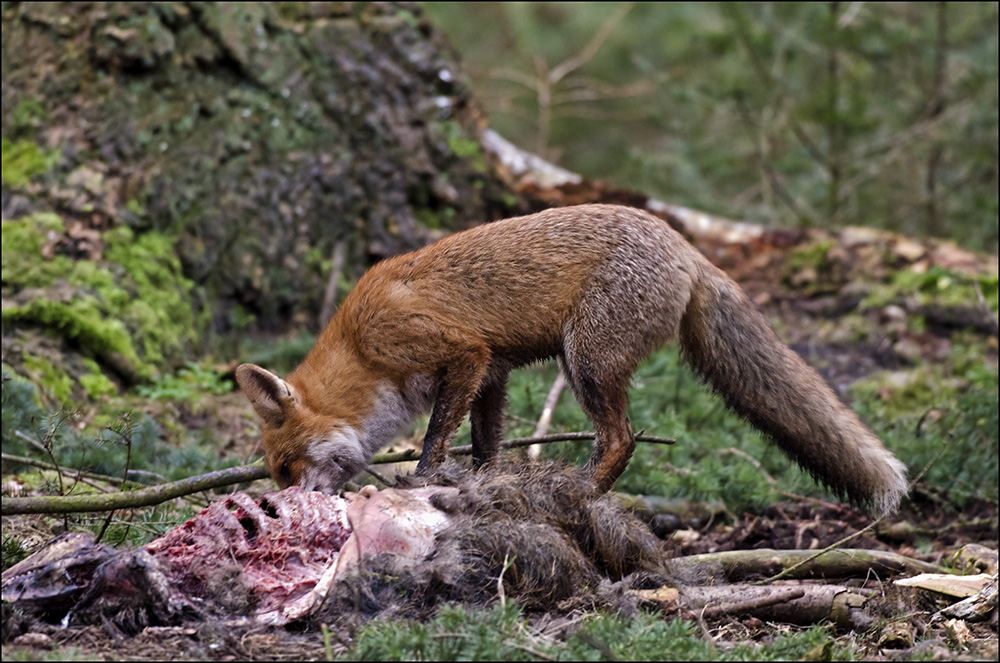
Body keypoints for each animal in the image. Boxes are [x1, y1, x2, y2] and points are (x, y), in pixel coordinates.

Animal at [238, 205, 912, 516]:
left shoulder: (459, 351)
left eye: (286, 468)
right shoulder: (493, 371)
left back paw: (581, 492)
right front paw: (483, 484)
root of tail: (684, 245)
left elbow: (433, 438)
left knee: (621, 439)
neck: (359, 347)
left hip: (584, 359)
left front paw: (426, 480)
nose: (287, 507)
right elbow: (484, 445)